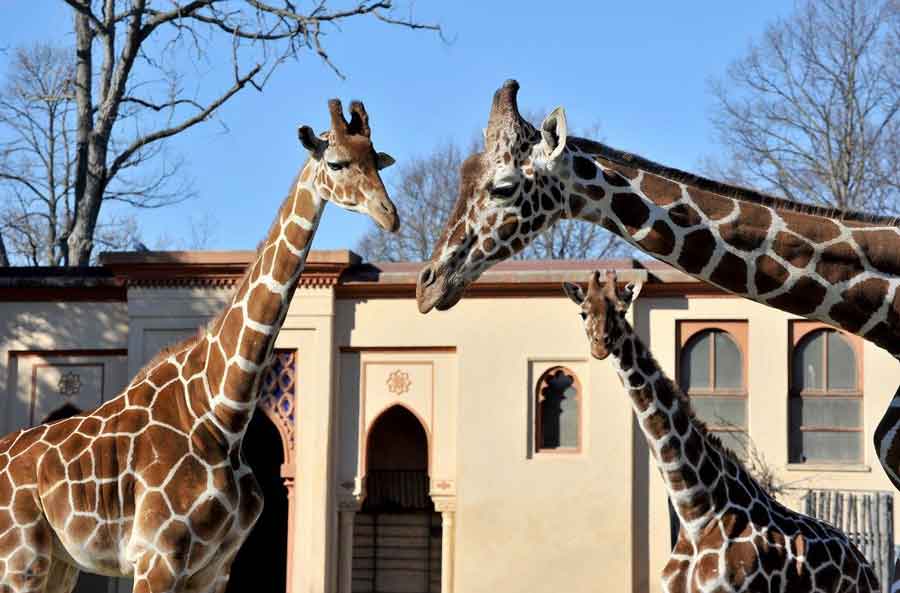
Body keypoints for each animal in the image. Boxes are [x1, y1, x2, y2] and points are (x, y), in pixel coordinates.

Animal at [0, 98, 398, 592]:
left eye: (376, 161)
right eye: (337, 162)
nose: (390, 215)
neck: (222, 411)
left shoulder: (215, 566)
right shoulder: (157, 557)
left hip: (57, 564)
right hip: (21, 560)